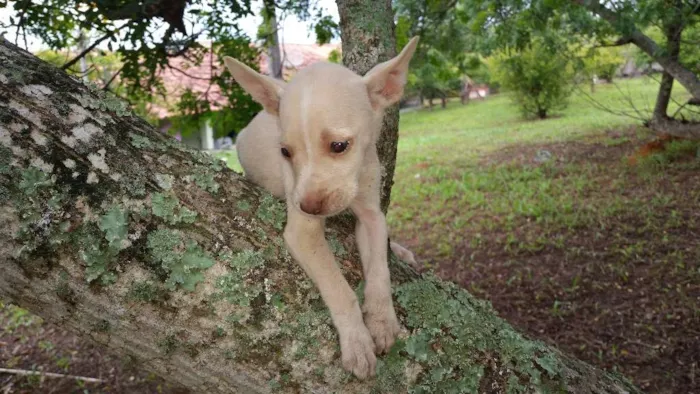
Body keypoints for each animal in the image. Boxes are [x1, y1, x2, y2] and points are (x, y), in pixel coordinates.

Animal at [224, 36, 418, 378]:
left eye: (339, 146)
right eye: (285, 152)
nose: (308, 207)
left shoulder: (372, 216)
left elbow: (379, 270)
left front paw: (381, 320)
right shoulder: (303, 231)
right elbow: (338, 287)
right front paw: (357, 340)